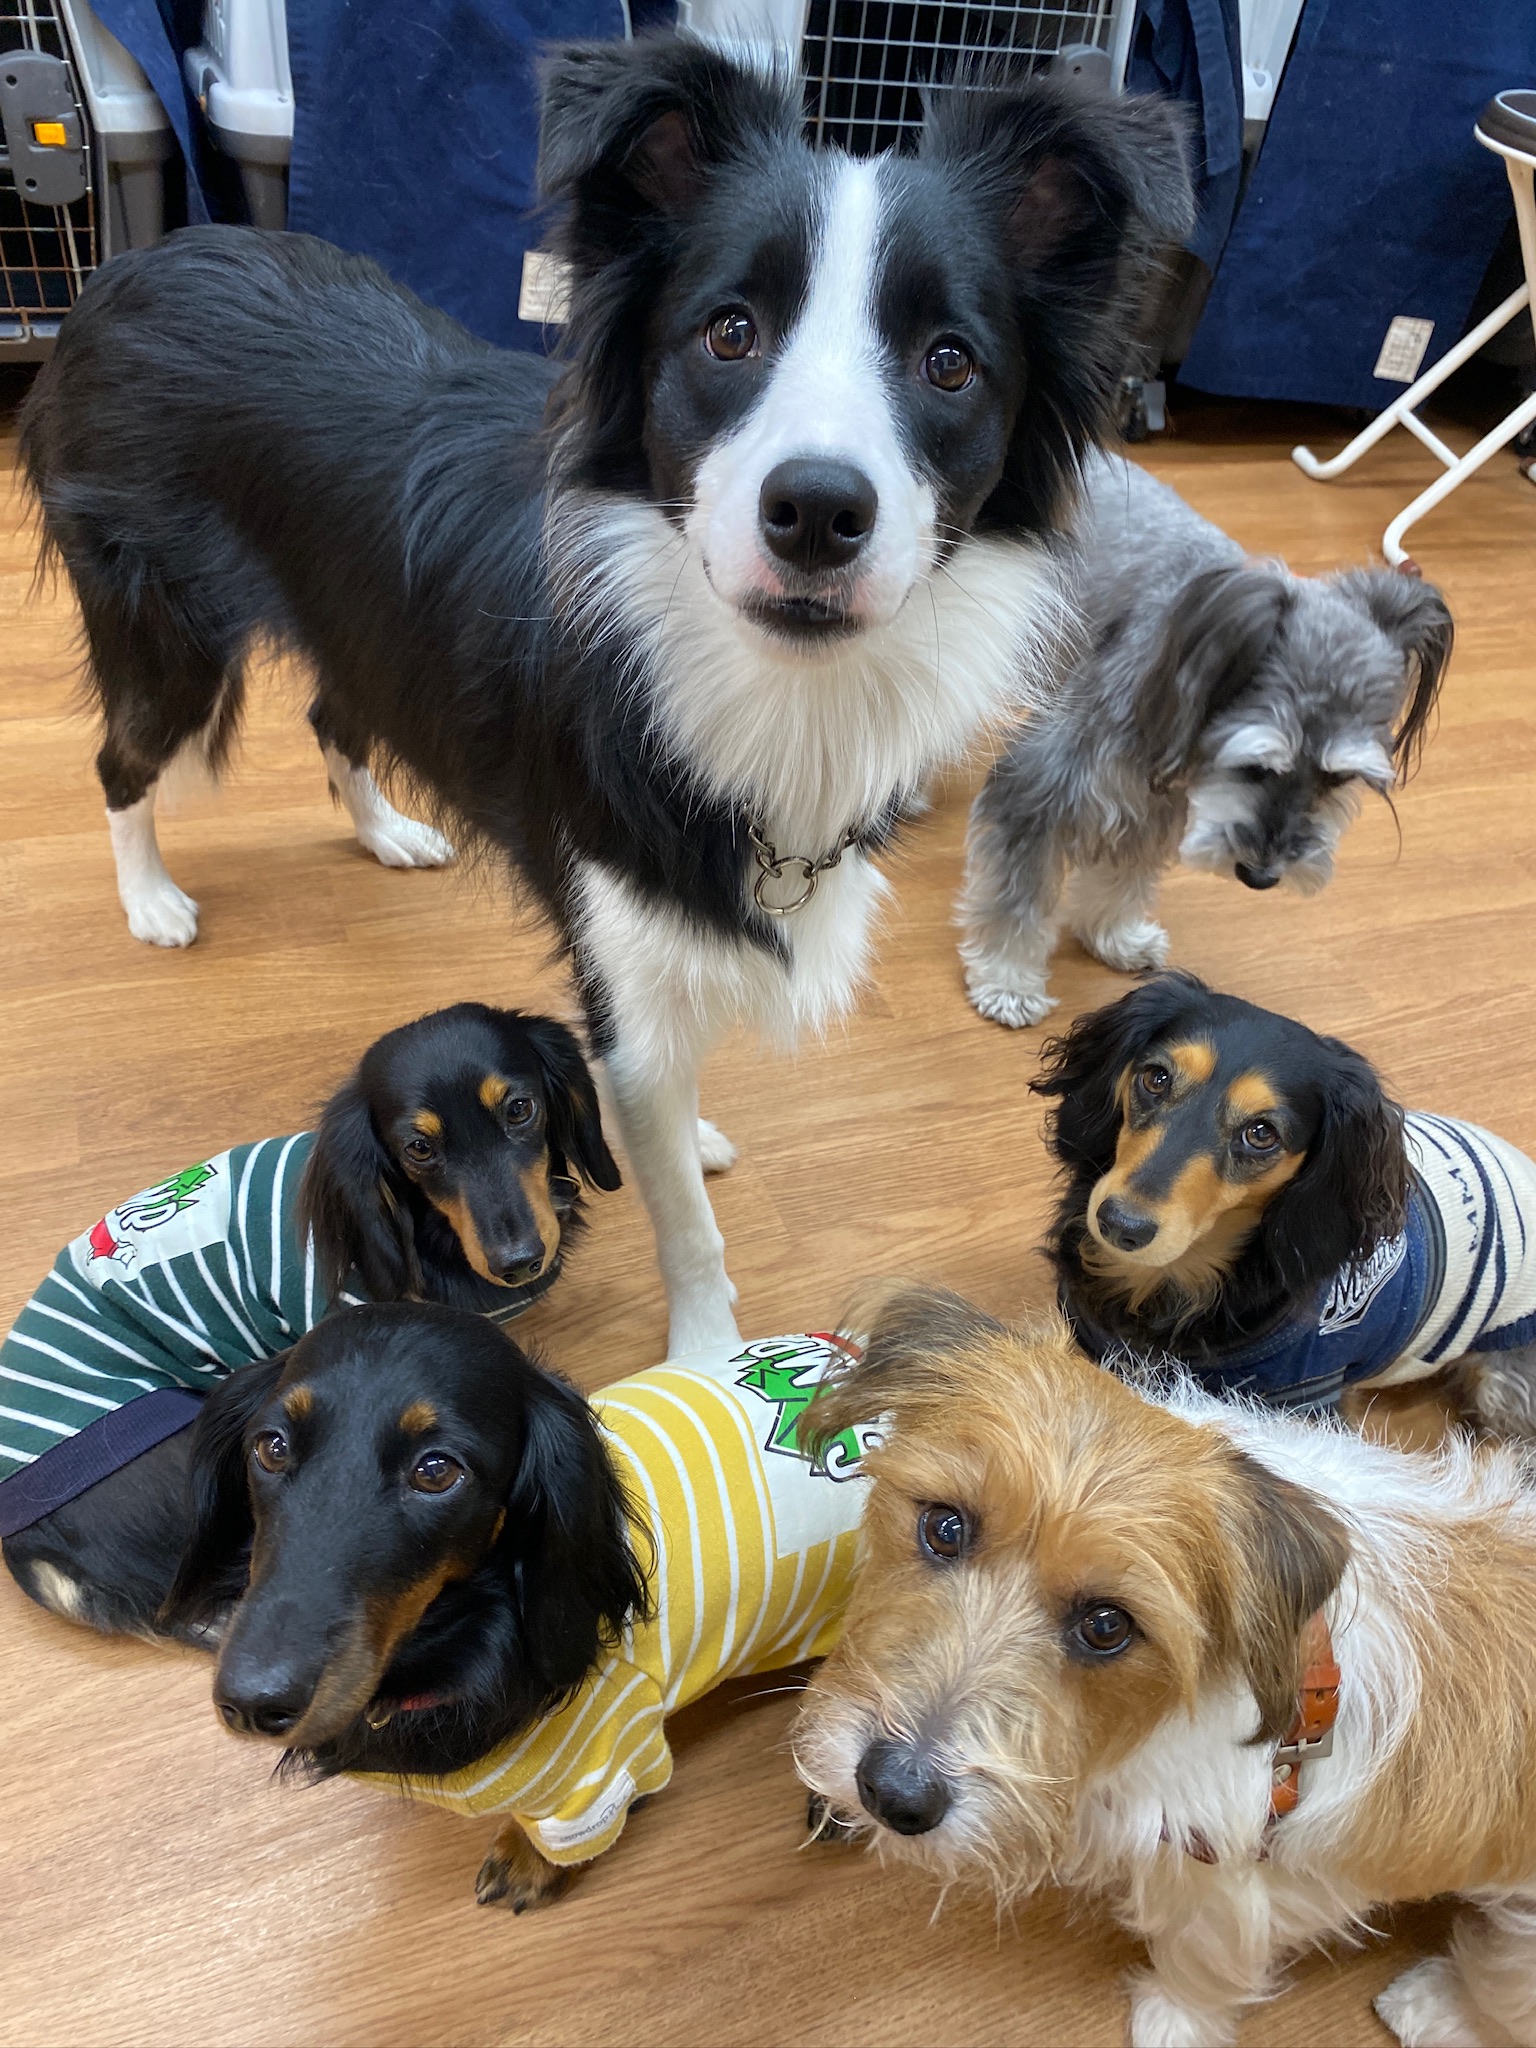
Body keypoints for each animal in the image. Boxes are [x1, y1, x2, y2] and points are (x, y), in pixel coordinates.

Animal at [6, 1304, 874, 1906]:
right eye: (270, 1447)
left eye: (437, 1470)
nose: (253, 1703)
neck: (458, 1644)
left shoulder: (599, 1770)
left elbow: (563, 1833)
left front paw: (528, 1862)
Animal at [19, 36, 1192, 1357]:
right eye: (729, 332)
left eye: (950, 361)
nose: (817, 511)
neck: (769, 689)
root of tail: (125, 270)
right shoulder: (614, 943)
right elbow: (683, 1213)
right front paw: (708, 1358)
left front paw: (695, 1135)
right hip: (163, 632)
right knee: (121, 763)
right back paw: (154, 899)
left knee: (333, 715)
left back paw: (387, 832)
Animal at [793, 1284, 1536, 2048]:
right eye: (944, 1527)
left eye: (1107, 1626)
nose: (894, 1794)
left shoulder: (1245, 1885)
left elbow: (1203, 1959)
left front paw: (1174, 2019)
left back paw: (1435, 2006)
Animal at [959, 452, 1453, 1028]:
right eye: (1256, 767)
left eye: (1338, 779)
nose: (1260, 877)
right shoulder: (1040, 790)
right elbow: (1015, 896)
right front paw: (1007, 981)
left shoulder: (1158, 804)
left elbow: (1124, 878)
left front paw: (1116, 936)